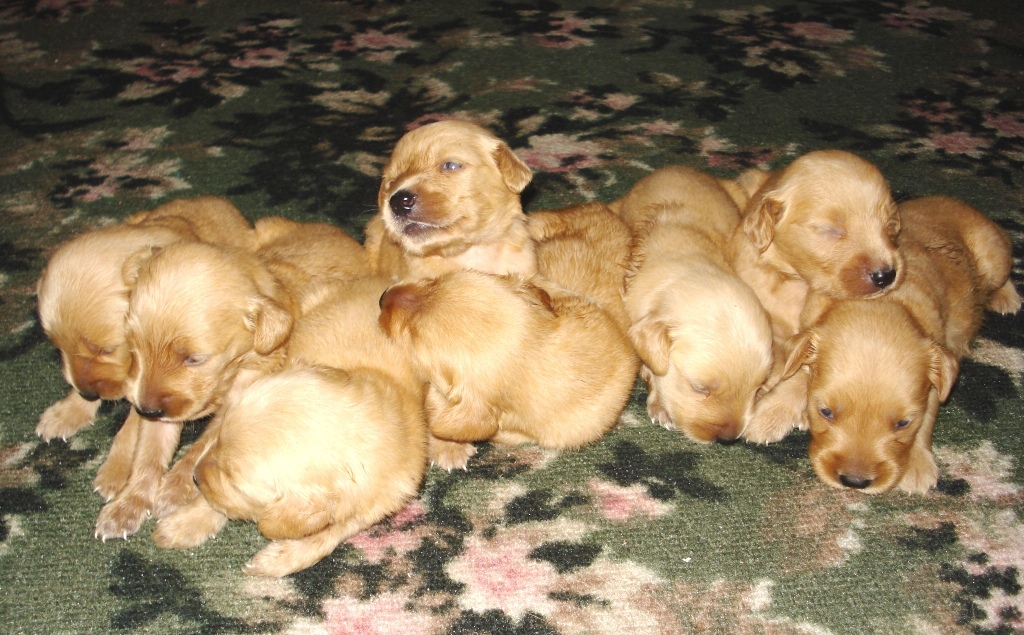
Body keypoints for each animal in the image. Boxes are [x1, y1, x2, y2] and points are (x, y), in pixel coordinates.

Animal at [95, 218, 366, 540]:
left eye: (194, 359)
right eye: (134, 346)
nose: (145, 410)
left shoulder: (240, 396)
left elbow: (200, 447)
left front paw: (175, 488)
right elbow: (148, 457)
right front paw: (128, 506)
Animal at [151, 364, 427, 577]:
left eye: (234, 482)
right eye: (219, 441)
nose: (195, 477)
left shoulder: (371, 508)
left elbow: (326, 536)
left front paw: (277, 560)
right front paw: (184, 524)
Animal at [610, 166, 773, 443]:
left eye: (758, 387)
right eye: (700, 388)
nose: (728, 439)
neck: (691, 265)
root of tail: (676, 167)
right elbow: (653, 372)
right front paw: (660, 406)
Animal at [759, 196, 1020, 494]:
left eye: (903, 423)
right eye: (826, 412)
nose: (855, 481)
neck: (882, 303)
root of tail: (956, 201)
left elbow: (928, 417)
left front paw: (917, 464)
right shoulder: (809, 326)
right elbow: (799, 369)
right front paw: (770, 413)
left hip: (994, 257)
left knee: (1000, 277)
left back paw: (1007, 298)